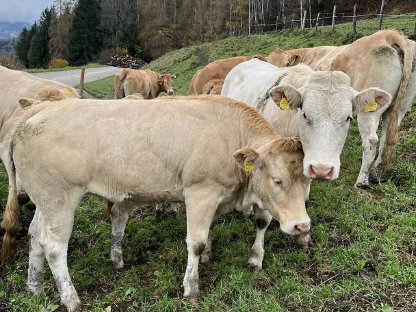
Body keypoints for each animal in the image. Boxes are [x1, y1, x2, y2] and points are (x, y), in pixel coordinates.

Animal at [1, 95, 310, 310]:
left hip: (44, 198)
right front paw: (191, 288)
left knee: (34, 236)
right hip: (60, 198)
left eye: (307, 179)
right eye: (278, 180)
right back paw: (71, 299)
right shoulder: (201, 191)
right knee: (53, 246)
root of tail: (30, 119)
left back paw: (35, 287)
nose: (302, 225)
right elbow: (196, 242)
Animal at [280, 29, 412, 186]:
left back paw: (362, 181)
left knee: (371, 141)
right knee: (386, 139)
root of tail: (389, 34)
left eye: (286, 63)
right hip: (399, 108)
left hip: (368, 109)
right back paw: (376, 174)